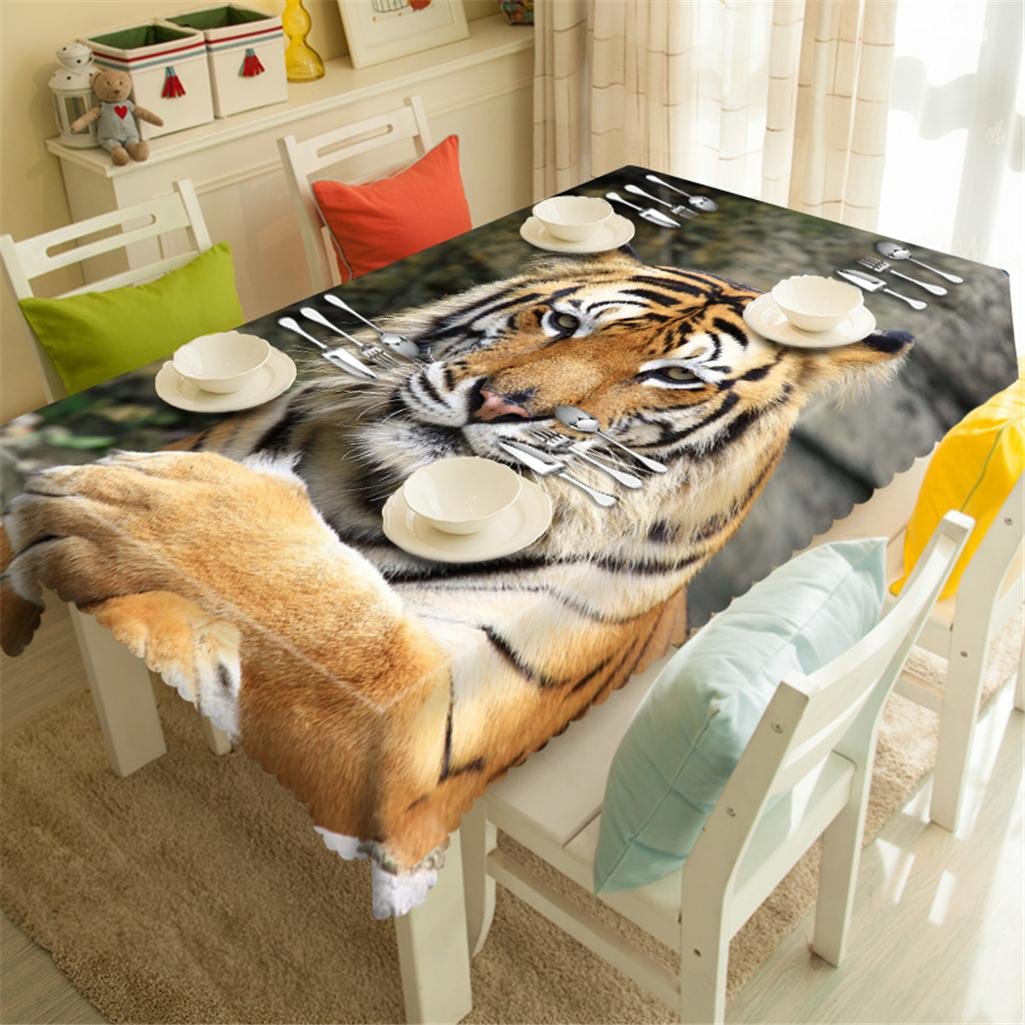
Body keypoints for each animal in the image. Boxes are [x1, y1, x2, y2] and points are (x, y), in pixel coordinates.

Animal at [1, 251, 912, 916]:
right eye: (562, 320)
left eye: (675, 379)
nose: (499, 405)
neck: (367, 492)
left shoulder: (424, 737)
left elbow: (341, 616)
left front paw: (151, 499)